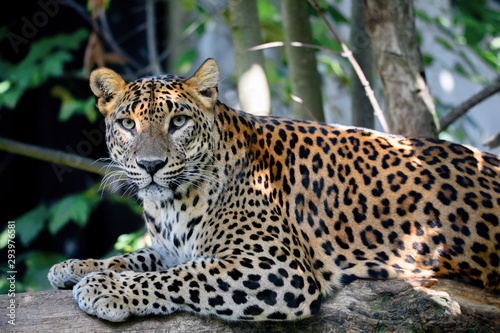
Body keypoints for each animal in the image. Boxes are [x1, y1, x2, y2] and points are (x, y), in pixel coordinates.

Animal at [47, 57, 500, 322]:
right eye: (127, 124)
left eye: (178, 123)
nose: (151, 166)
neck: (173, 204)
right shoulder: (169, 247)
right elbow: (137, 258)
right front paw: (77, 266)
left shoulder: (276, 266)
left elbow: (182, 275)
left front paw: (105, 289)